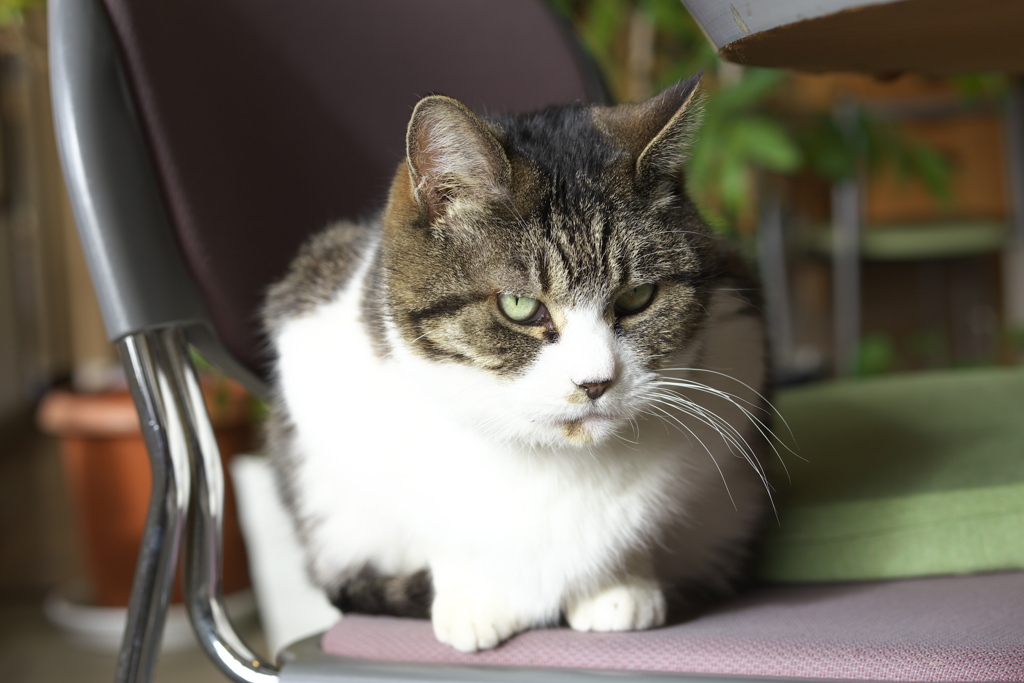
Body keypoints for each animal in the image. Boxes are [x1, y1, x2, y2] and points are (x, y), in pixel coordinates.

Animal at [260, 73, 770, 651]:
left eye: (638, 297)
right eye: (520, 305)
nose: (595, 382)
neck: (547, 457)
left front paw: (618, 586)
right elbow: (438, 529)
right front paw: (473, 599)